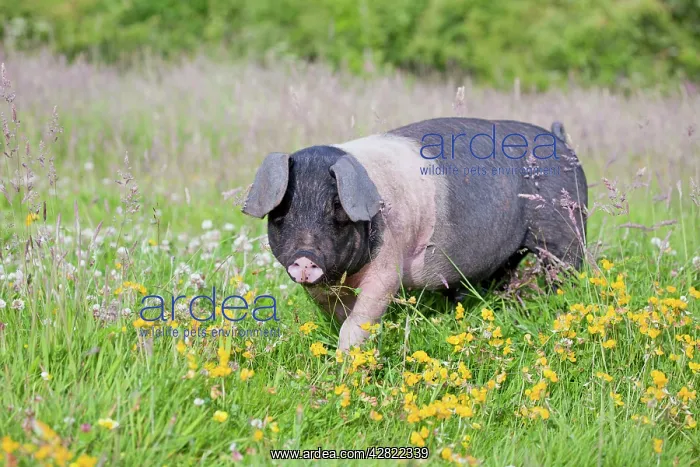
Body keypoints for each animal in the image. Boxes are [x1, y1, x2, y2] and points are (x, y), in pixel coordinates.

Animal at [242, 117, 588, 350]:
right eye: (281, 212)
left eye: (338, 207)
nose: (304, 256)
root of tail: (561, 142)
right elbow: (339, 313)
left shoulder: (389, 262)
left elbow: (364, 314)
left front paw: (345, 361)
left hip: (566, 231)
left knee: (566, 269)